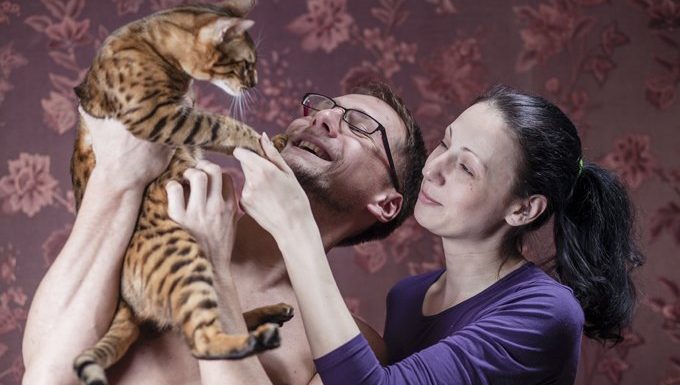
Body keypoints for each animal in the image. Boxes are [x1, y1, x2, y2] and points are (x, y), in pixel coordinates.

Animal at [71, 1, 292, 382]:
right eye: (247, 64)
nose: (255, 83)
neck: (151, 44)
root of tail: (124, 299)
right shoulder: (160, 116)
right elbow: (223, 125)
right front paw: (259, 141)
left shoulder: (177, 115)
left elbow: (226, 138)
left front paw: (273, 142)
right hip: (185, 257)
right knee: (199, 340)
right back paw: (257, 338)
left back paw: (270, 314)